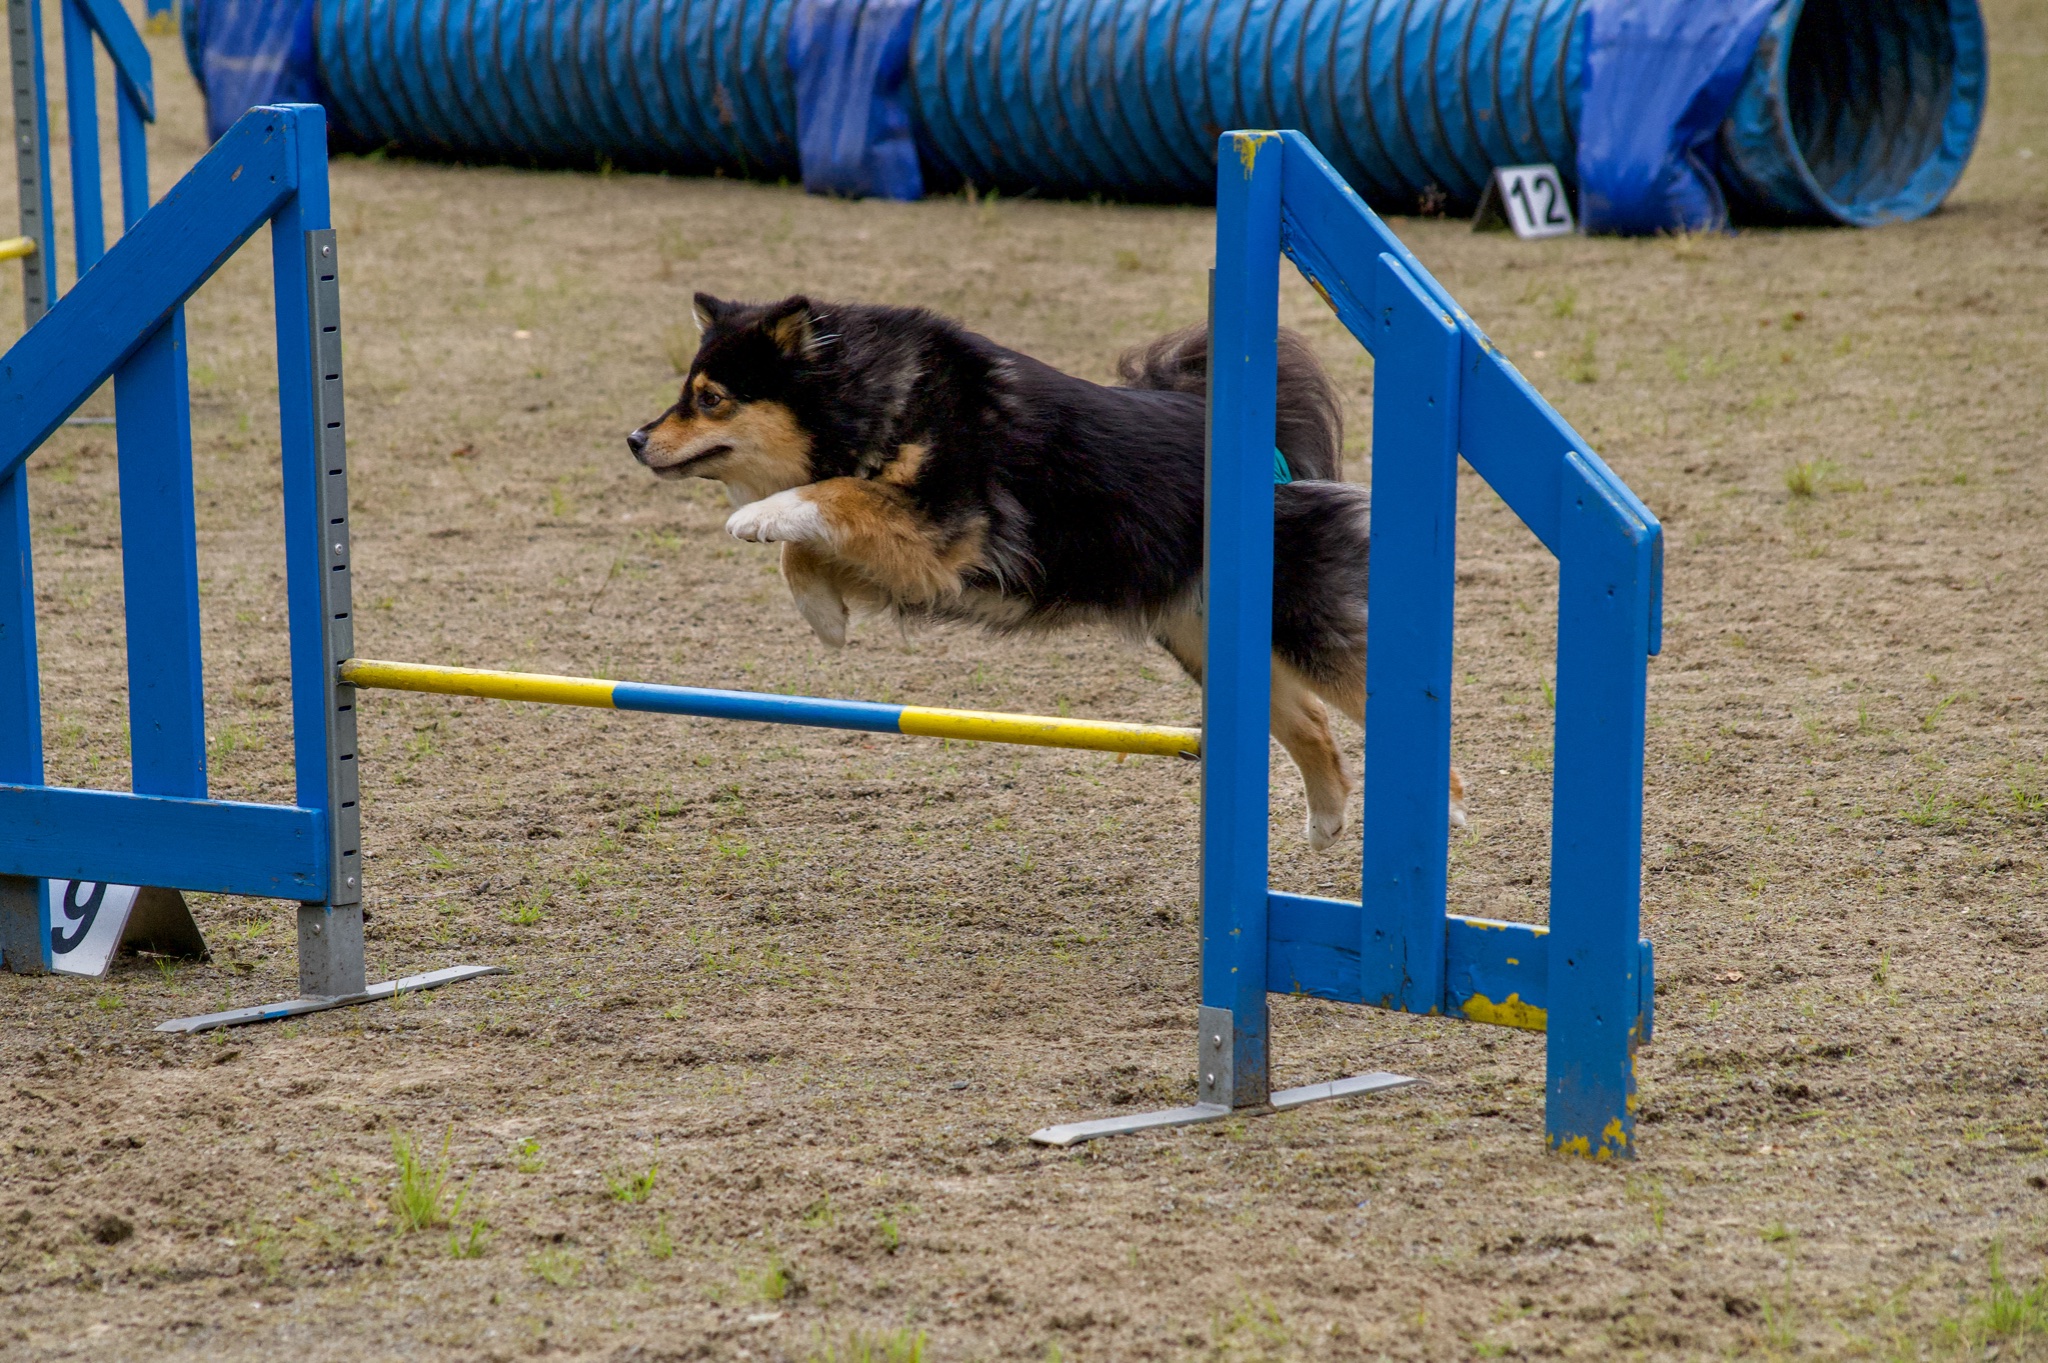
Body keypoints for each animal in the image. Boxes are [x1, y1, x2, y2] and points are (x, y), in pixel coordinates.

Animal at [614, 292, 1466, 843]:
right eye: (686, 393)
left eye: (711, 399)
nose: (633, 438)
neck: (870, 395)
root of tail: (1274, 454)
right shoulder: (922, 561)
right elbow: (814, 538)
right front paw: (823, 615)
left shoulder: (946, 524)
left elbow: (828, 495)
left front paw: (758, 517)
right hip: (1208, 641)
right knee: (1311, 724)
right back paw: (1327, 822)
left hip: (1302, 623)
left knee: (1395, 708)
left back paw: (1442, 810)